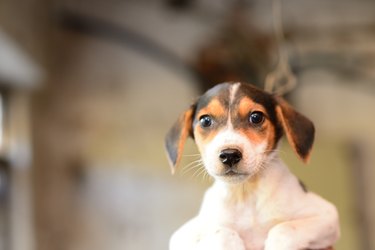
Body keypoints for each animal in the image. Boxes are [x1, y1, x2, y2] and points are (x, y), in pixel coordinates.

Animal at [164, 82, 340, 250]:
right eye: (205, 121)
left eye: (256, 117)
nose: (229, 155)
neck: (246, 192)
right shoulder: (182, 235)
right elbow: (221, 231)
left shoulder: (327, 214)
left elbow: (284, 229)